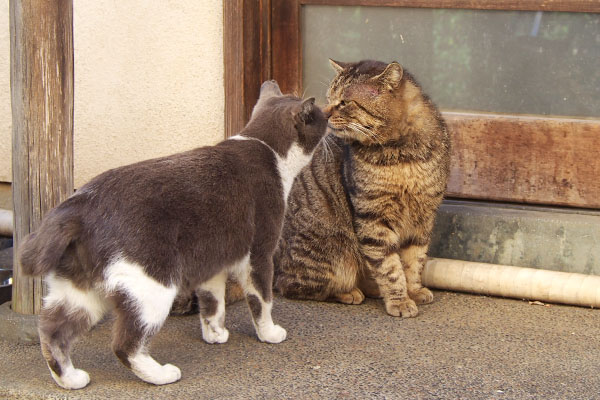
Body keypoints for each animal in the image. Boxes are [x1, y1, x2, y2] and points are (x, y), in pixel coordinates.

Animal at [19, 81, 328, 390]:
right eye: (319, 117)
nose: (328, 117)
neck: (268, 150)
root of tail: (78, 206)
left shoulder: (212, 262)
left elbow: (212, 303)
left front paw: (215, 335)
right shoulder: (260, 254)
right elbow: (262, 300)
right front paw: (270, 334)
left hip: (78, 291)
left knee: (52, 332)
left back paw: (71, 379)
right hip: (153, 286)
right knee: (125, 344)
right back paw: (161, 375)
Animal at [274, 59, 450, 318]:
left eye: (344, 102)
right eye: (329, 98)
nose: (324, 114)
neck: (401, 156)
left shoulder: (423, 218)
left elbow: (414, 261)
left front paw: (414, 290)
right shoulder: (373, 218)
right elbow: (390, 268)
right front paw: (399, 300)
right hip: (334, 258)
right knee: (292, 286)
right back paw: (349, 292)